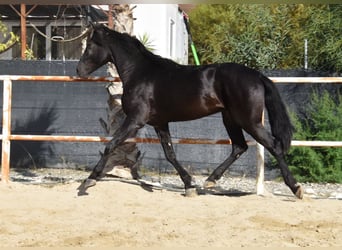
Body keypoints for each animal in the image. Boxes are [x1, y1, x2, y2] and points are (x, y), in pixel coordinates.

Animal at [77, 23, 302, 199]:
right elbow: (170, 154)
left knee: (273, 145)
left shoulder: (135, 120)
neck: (140, 73)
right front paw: (189, 185)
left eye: (90, 46)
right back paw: (209, 181)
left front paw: (89, 181)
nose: (79, 70)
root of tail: (257, 76)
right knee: (239, 147)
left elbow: (111, 144)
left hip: (249, 121)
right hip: (230, 118)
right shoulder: (160, 123)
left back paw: (295, 188)